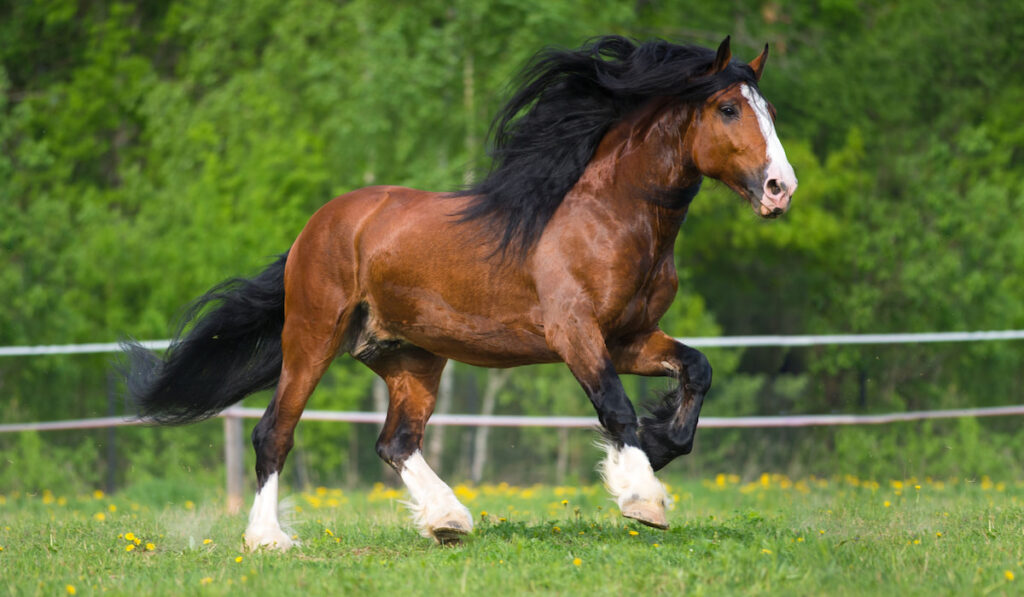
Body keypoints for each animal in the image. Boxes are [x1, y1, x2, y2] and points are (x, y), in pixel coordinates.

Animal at [121, 35, 798, 548]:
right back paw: (269, 539)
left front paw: (654, 451)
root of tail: (318, 226)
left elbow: (697, 371)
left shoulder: (629, 337)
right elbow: (615, 406)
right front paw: (641, 497)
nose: (780, 188)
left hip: (411, 356)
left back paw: (447, 520)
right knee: (275, 433)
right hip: (312, 337)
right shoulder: (575, 333)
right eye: (729, 109)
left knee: (395, 441)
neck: (609, 215)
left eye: (769, 108)